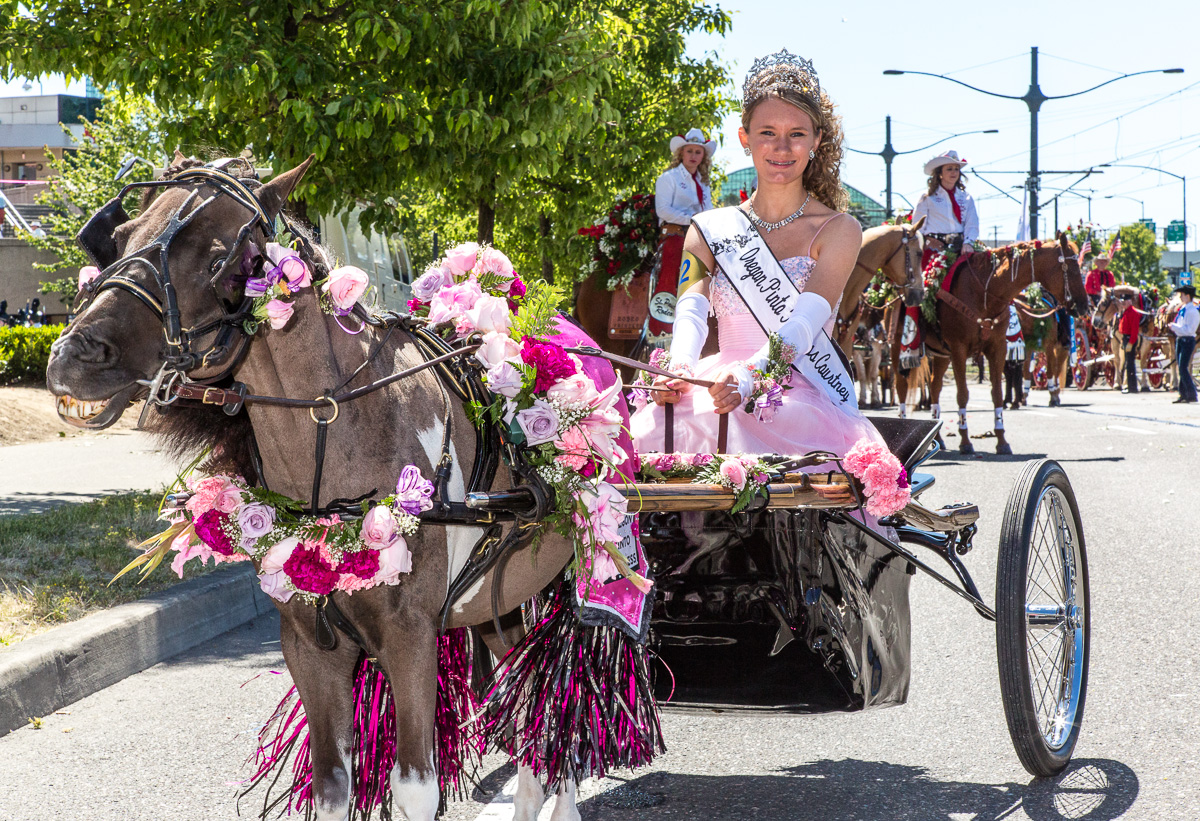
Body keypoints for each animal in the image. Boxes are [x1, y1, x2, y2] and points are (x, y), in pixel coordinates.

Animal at [46, 157, 590, 816]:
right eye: (120, 238)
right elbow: (332, 783)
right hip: (500, 600)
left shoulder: (411, 636)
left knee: (558, 700)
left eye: (218, 259)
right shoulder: (310, 645)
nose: (72, 355)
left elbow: (415, 786)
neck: (345, 424)